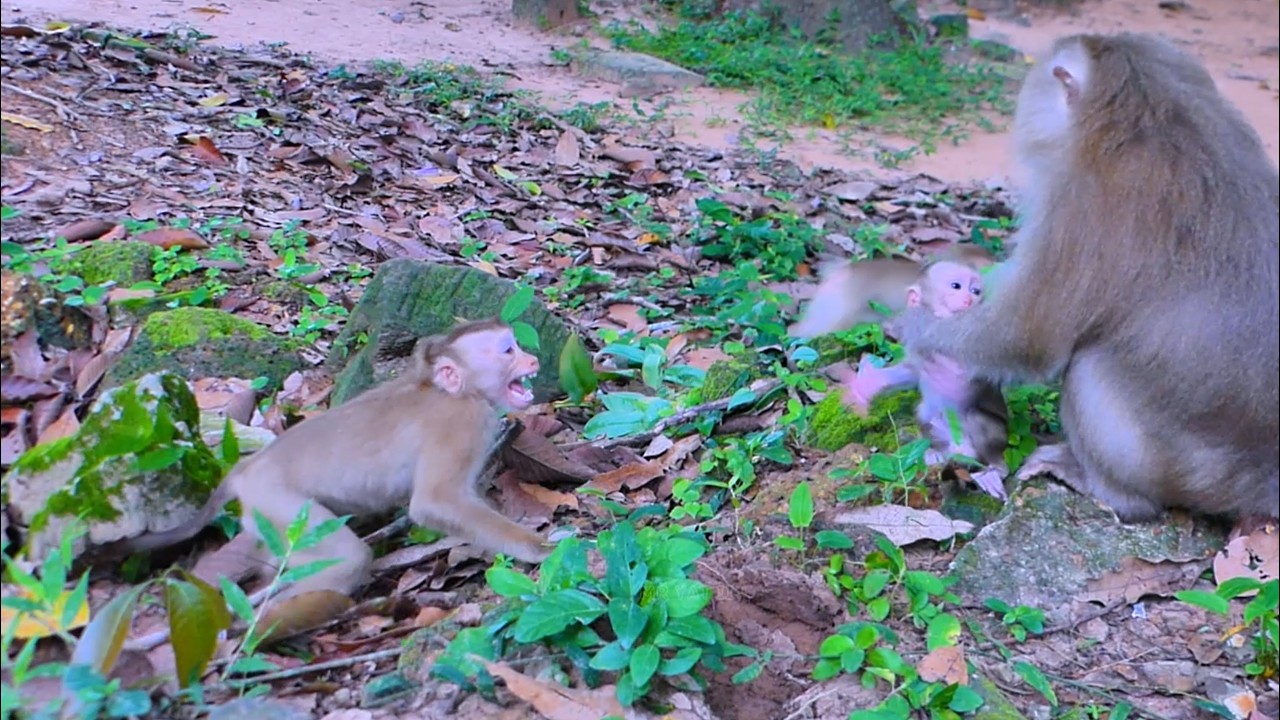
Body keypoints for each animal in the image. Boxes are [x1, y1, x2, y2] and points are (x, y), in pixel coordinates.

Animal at [108, 318, 551, 615]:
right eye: (508, 351)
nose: (533, 358)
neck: (454, 392)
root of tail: (246, 470)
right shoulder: (462, 424)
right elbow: (434, 503)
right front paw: (540, 549)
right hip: (279, 503)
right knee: (345, 558)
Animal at [834, 261, 1010, 499]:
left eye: (976, 291)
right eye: (956, 286)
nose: (969, 299)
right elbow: (912, 370)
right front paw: (865, 385)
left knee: (976, 418)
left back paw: (994, 470)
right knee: (925, 412)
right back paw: (936, 453)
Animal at [892, 33, 1280, 525]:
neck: (1150, 111)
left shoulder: (1076, 197)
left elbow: (1025, 335)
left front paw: (916, 330)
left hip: (1185, 473)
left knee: (1089, 367)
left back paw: (1116, 493)